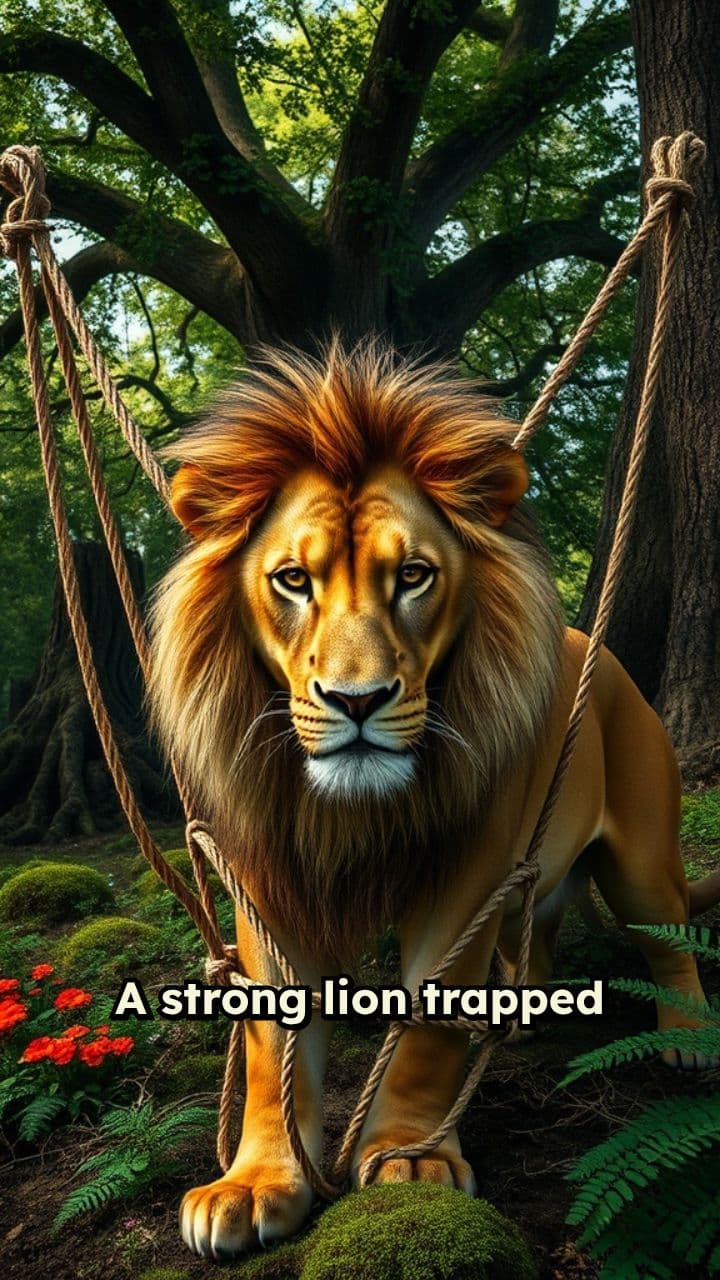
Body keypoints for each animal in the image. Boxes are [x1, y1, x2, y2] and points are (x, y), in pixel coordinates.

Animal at [148, 339, 720, 1260]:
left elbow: (426, 1027)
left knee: (666, 940)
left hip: (641, 856)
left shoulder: (469, 871)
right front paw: (255, 1183)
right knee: (541, 924)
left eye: (413, 575)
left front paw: (410, 1160)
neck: (345, 811)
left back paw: (689, 1042)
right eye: (293, 580)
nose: (357, 701)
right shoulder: (264, 877)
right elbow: (274, 1046)